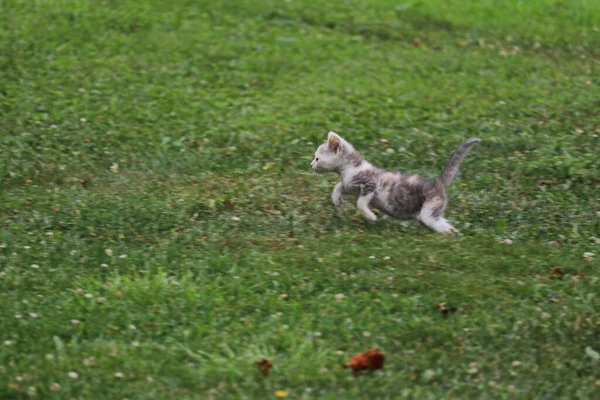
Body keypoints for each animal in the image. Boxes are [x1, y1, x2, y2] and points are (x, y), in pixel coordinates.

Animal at [312, 131, 480, 233]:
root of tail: (438, 181)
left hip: (429, 211)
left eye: (317, 158)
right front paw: (336, 200)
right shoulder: (351, 186)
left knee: (447, 227)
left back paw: (450, 237)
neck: (350, 169)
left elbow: (360, 203)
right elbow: (338, 186)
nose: (311, 164)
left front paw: (371, 217)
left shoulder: (369, 185)